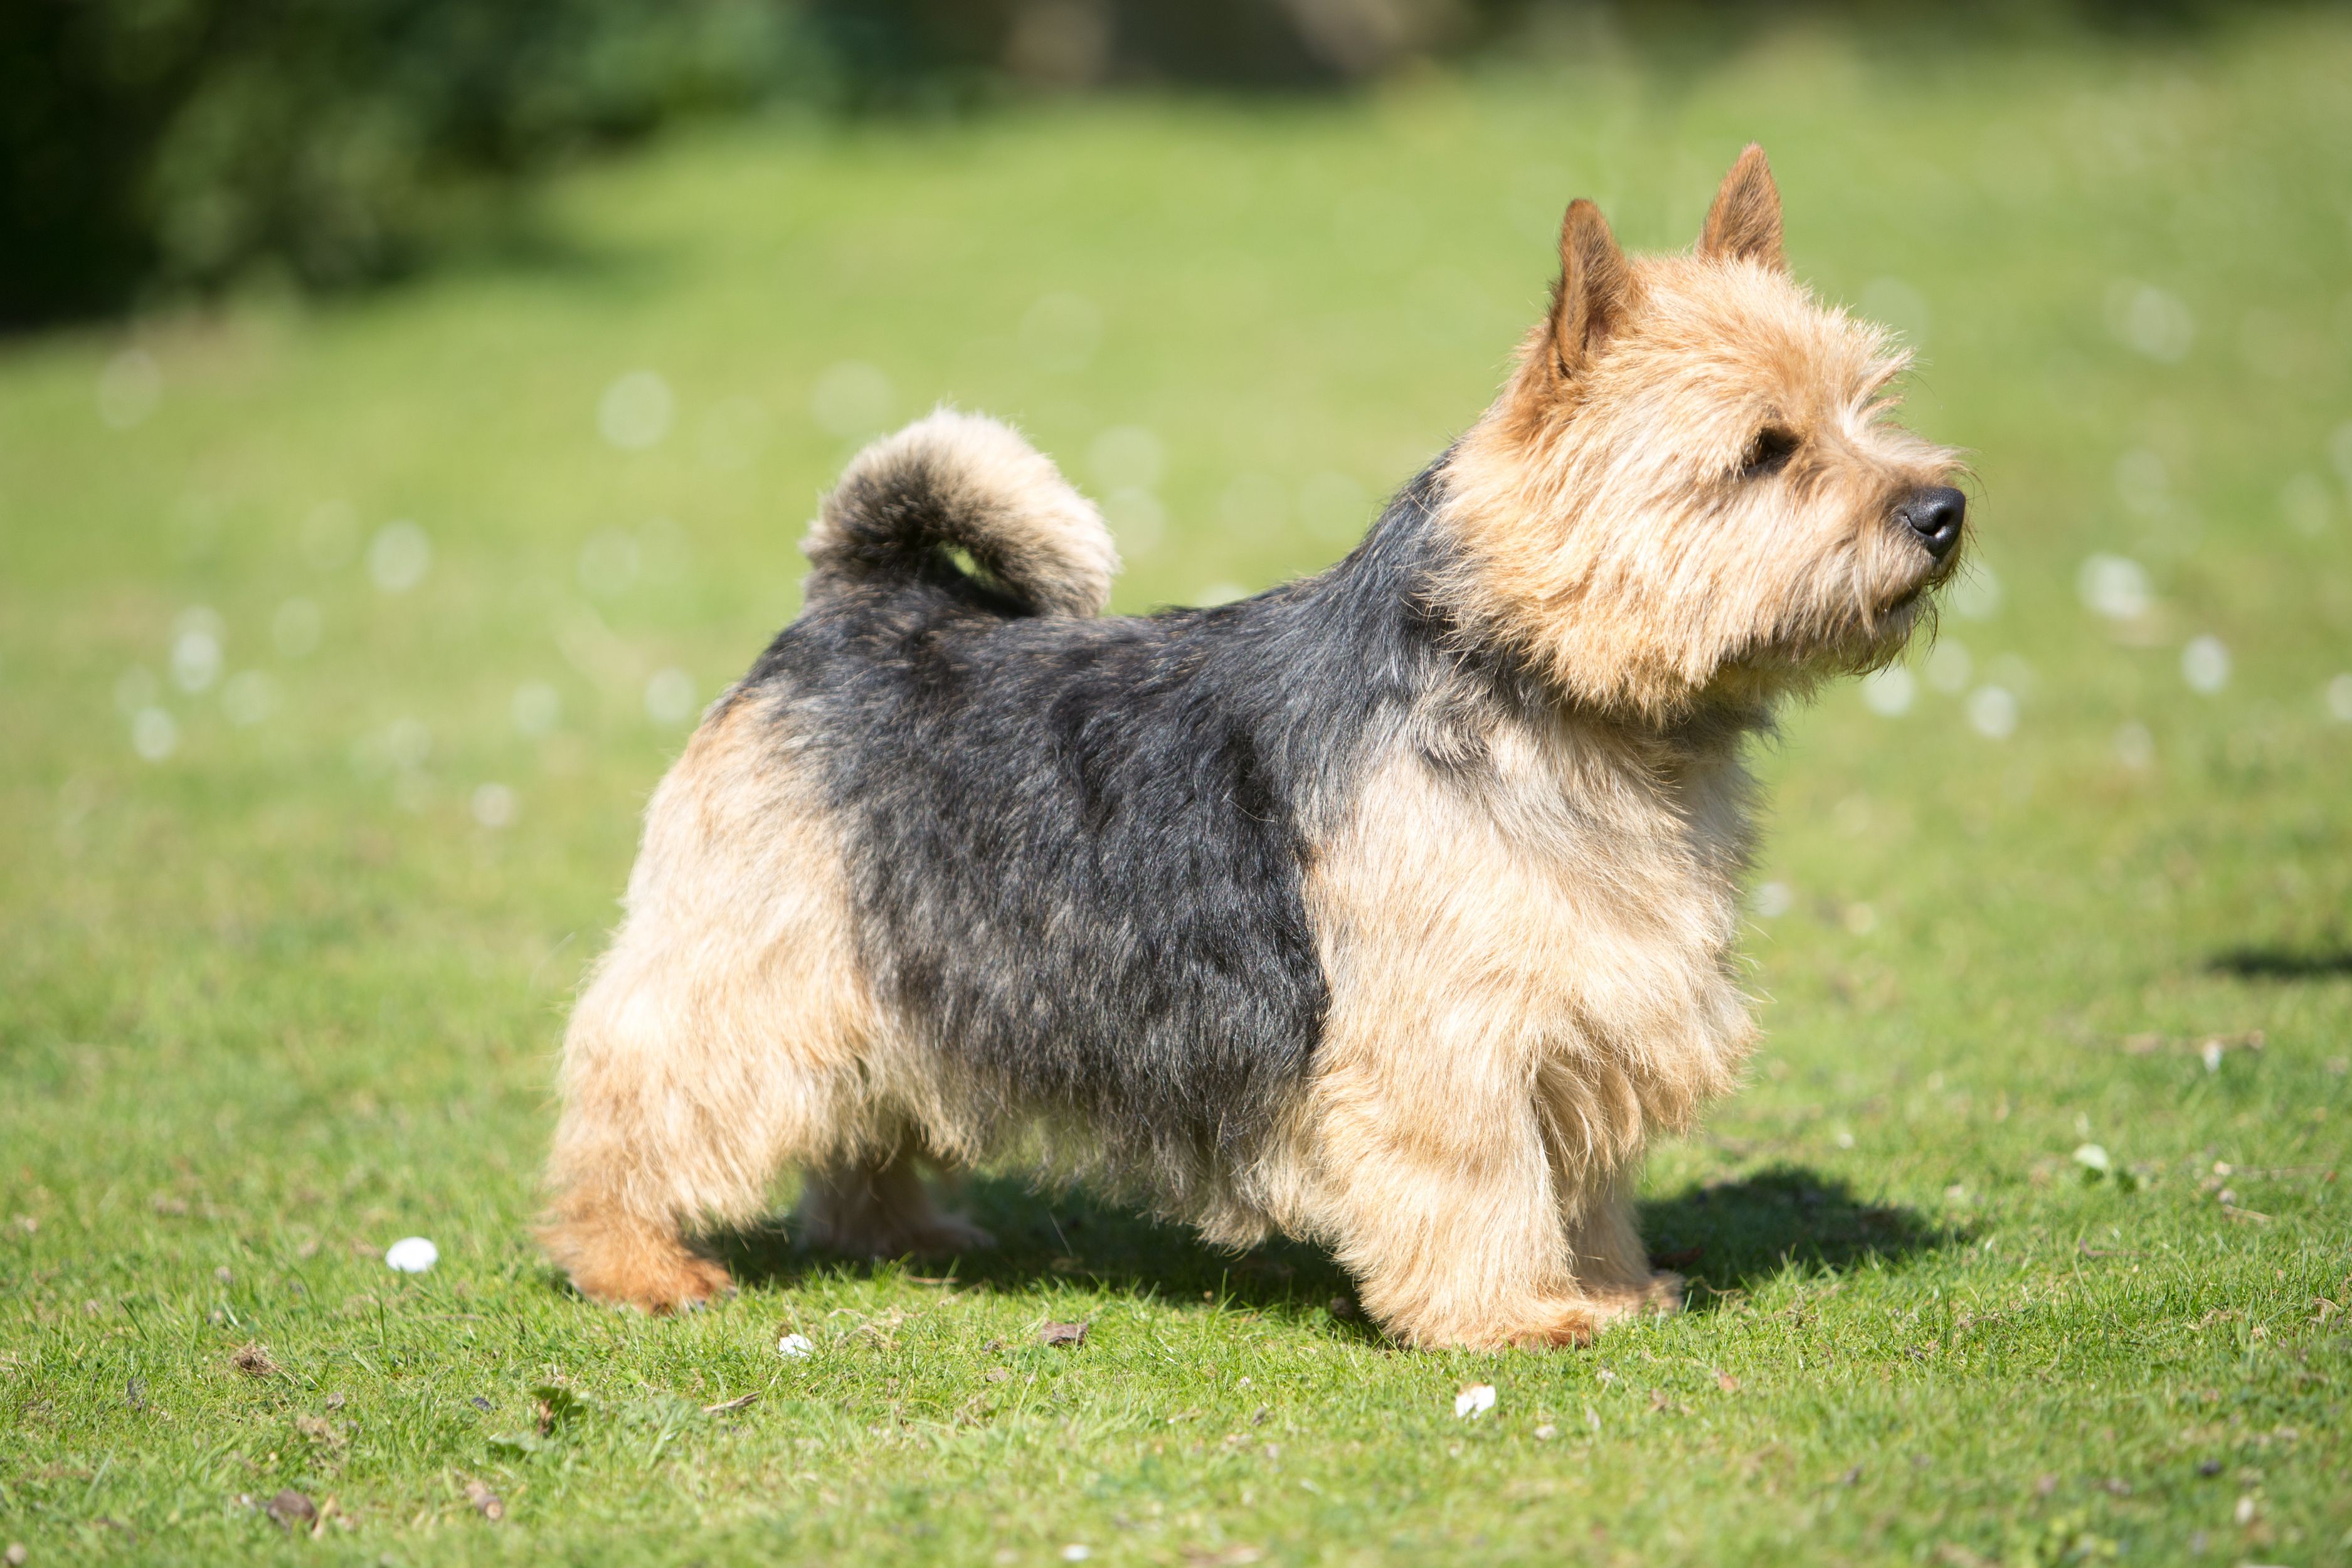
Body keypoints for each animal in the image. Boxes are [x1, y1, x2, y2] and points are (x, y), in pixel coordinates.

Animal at [541, 144, 1957, 1353]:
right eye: (1763, 452)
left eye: (1866, 405)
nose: (1943, 507)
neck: (1557, 695)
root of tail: (863, 600)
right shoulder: (1453, 1034)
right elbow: (1486, 1174)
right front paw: (1517, 1316)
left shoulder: (1586, 1005)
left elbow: (1585, 1177)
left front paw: (1611, 1284)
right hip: (751, 961)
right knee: (637, 1091)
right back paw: (633, 1262)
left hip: (908, 963)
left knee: (861, 1114)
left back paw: (903, 1232)